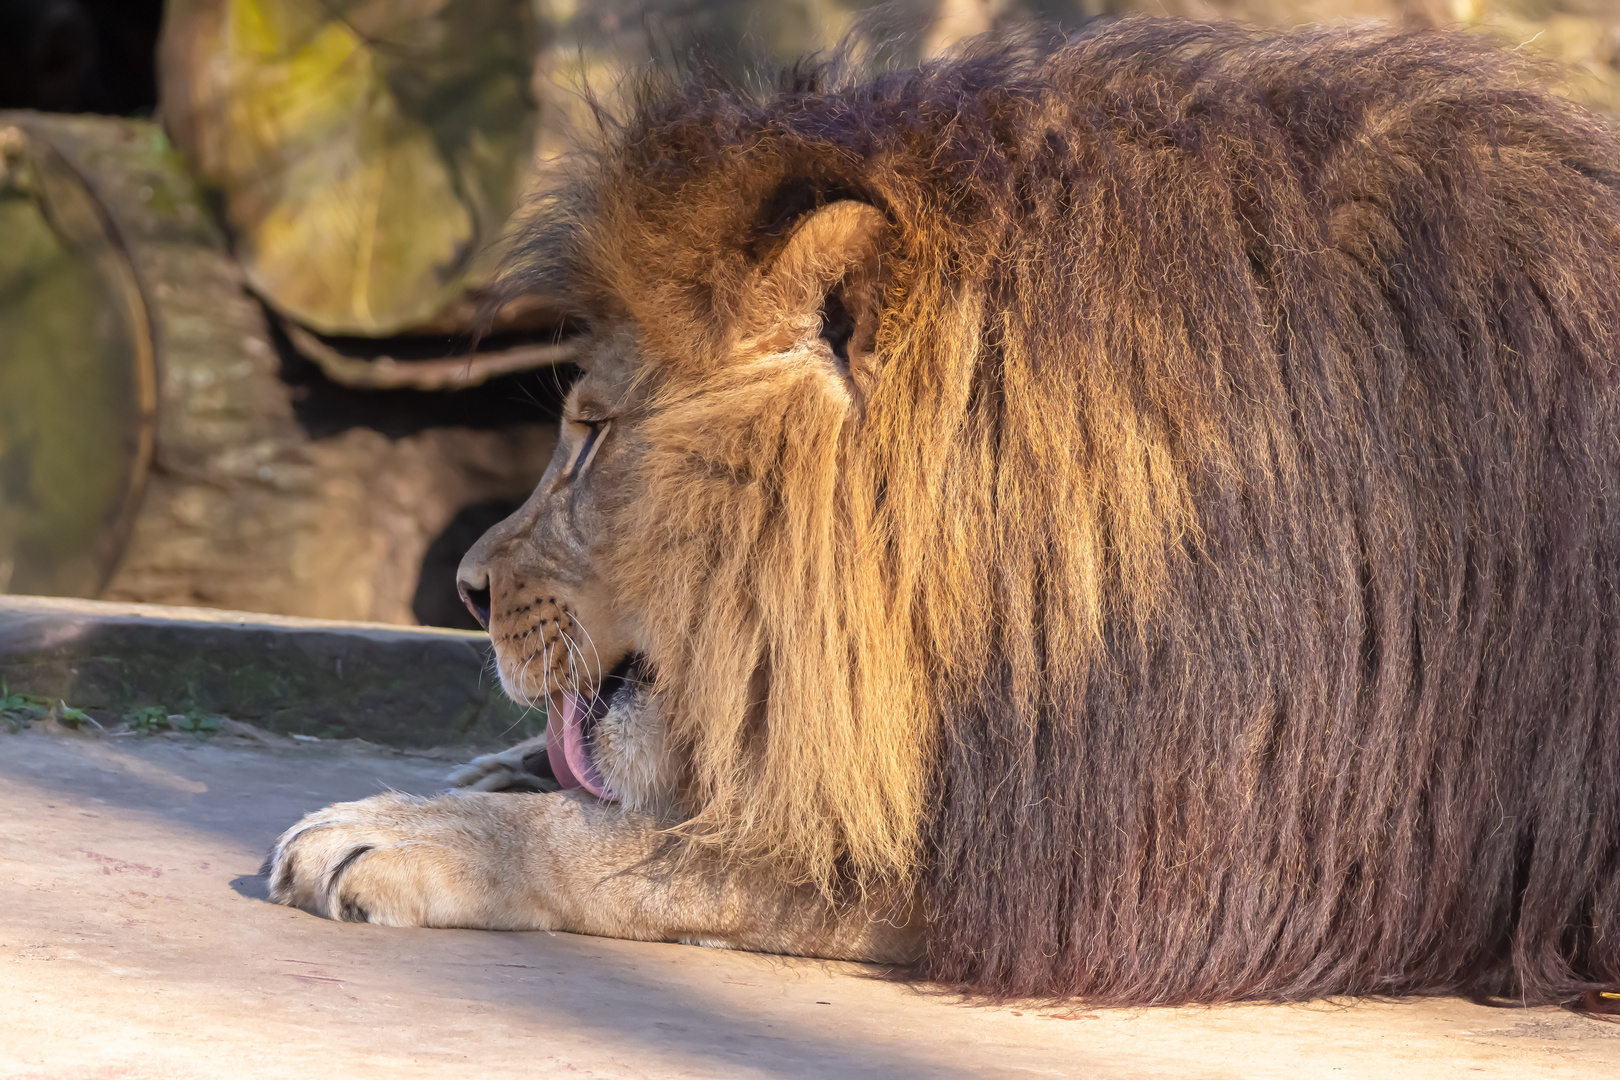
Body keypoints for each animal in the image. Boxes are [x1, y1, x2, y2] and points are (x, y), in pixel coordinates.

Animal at [272, 21, 1620, 1010]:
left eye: (595, 434)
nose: (465, 590)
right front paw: (486, 774)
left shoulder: (1119, 877)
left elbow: (678, 851)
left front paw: (409, 833)